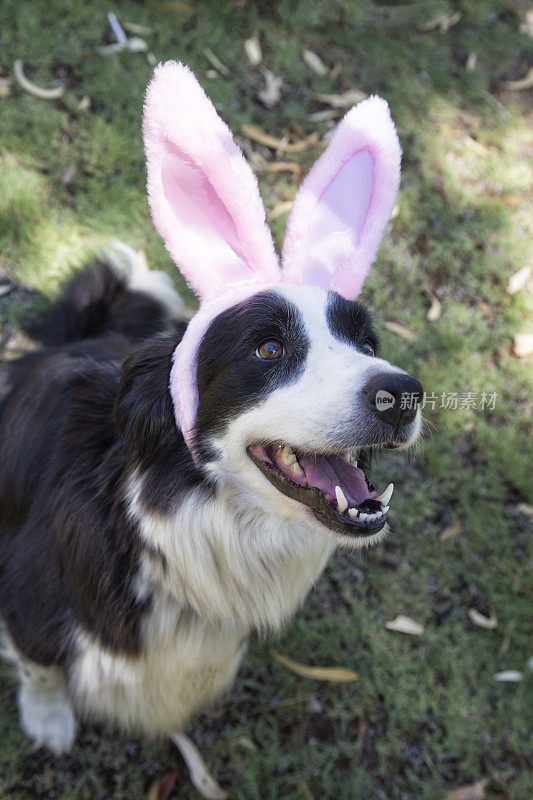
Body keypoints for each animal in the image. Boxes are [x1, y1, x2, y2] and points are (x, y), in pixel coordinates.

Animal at [0, 61, 424, 788]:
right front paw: (49, 721)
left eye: (366, 343)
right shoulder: (28, 590)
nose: (403, 394)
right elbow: (41, 664)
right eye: (268, 349)